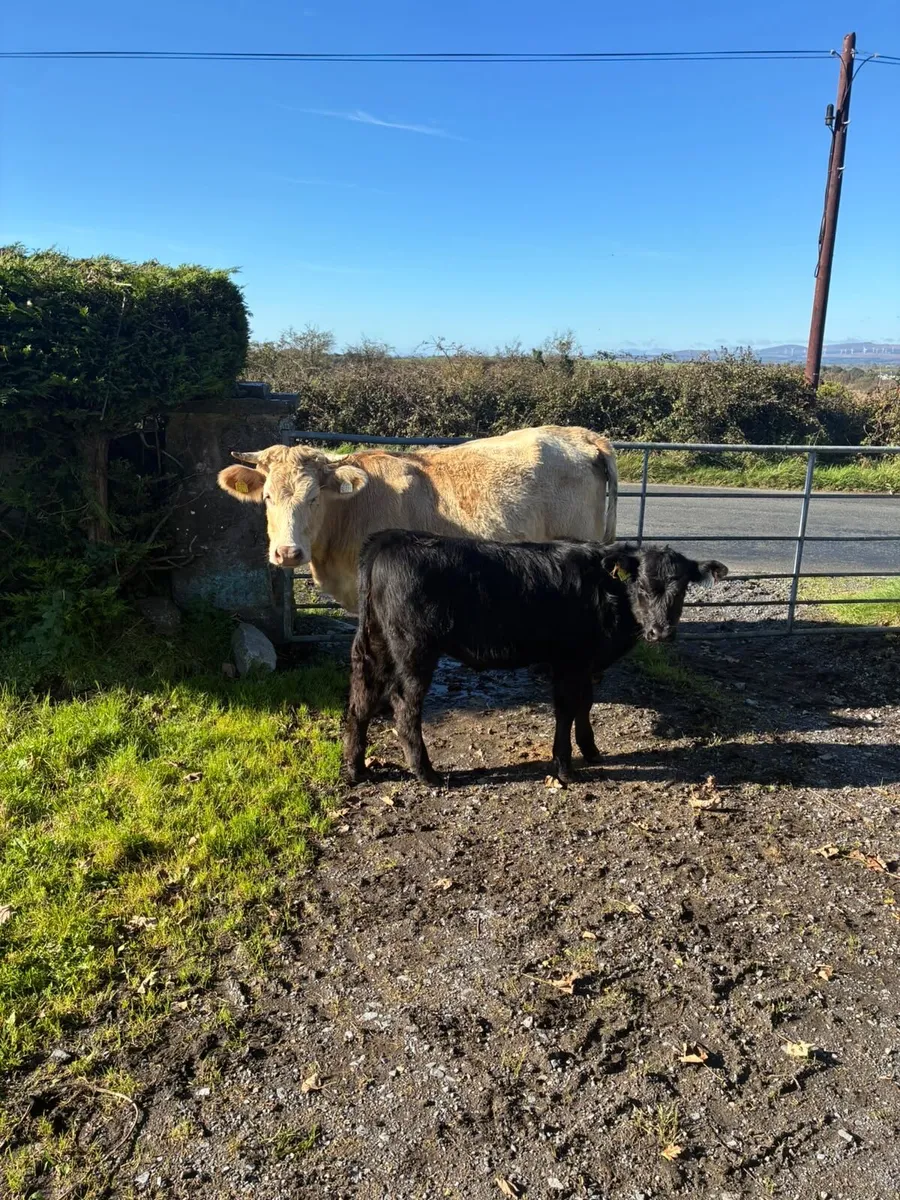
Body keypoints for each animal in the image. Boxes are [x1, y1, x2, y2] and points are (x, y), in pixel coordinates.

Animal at [343, 532, 728, 786]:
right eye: (643, 587)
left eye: (682, 590)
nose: (661, 632)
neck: (607, 591)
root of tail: (389, 539)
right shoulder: (569, 661)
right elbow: (566, 709)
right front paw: (564, 767)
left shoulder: (585, 664)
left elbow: (585, 705)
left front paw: (591, 750)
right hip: (414, 650)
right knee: (403, 704)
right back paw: (426, 773)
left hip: (374, 643)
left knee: (361, 700)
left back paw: (356, 768)